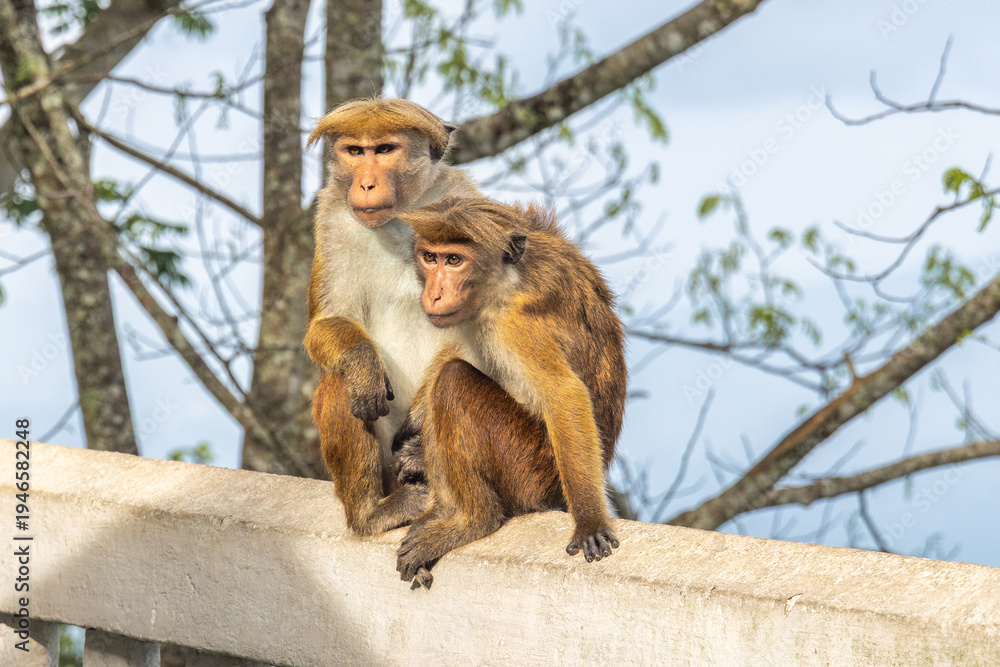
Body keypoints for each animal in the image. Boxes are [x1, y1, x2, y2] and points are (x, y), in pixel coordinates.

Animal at [304, 98, 481, 537]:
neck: (401, 219)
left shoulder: (462, 199)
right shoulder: (333, 217)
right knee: (340, 382)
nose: (365, 184)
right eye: (355, 151)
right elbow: (326, 323)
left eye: (384, 149)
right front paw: (363, 363)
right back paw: (372, 513)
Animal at [392, 196, 628, 588]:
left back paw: (473, 521)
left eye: (454, 260)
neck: (505, 281)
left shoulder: (515, 325)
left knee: (453, 381)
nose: (434, 293)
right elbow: (454, 349)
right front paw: (410, 442)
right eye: (430, 257)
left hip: (530, 471)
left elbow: (564, 395)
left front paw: (590, 522)